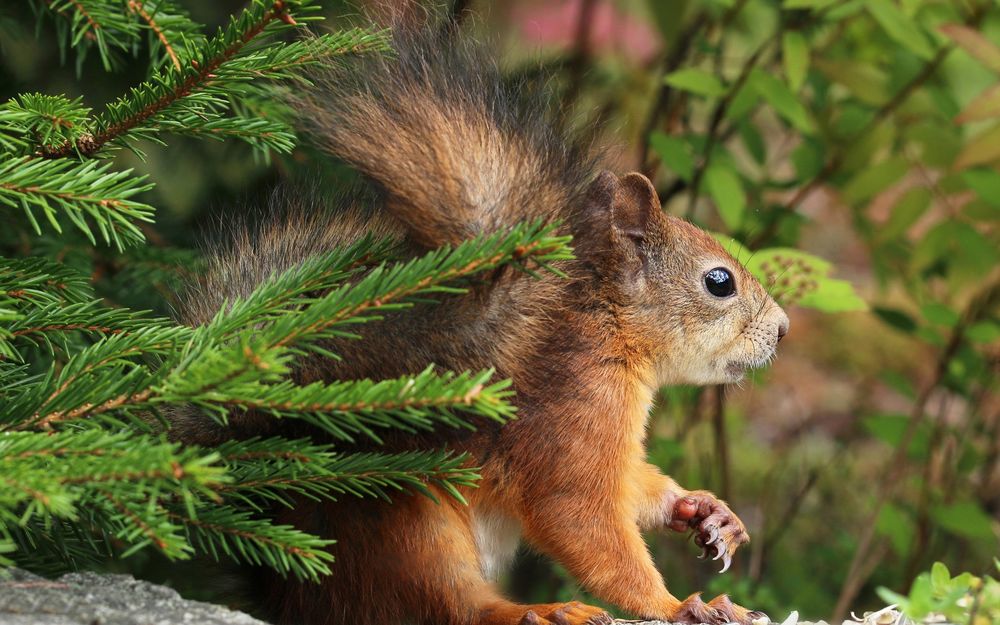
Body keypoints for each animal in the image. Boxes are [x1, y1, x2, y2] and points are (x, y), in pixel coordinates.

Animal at [173, 14, 790, 625]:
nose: (783, 328)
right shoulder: (572, 415)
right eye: (719, 282)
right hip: (411, 527)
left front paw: (706, 511)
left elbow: (633, 486)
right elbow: (580, 519)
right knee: (451, 605)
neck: (607, 331)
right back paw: (545, 610)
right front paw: (678, 604)